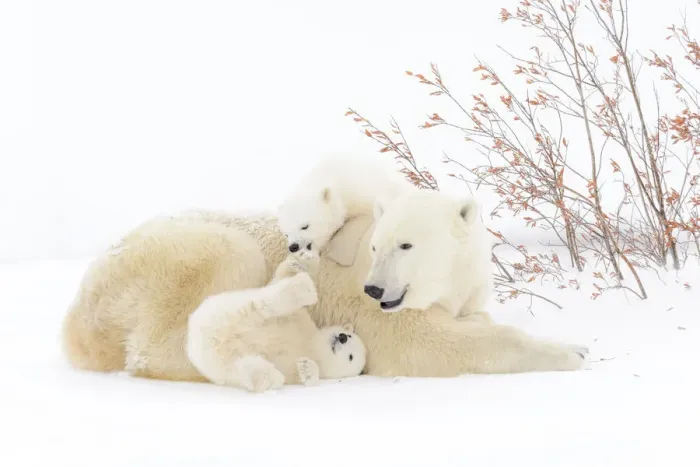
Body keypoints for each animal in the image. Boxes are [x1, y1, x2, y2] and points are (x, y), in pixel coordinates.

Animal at [185, 252, 367, 392]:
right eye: (349, 335)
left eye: (350, 357)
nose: (342, 337)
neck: (313, 345)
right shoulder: (301, 321)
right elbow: (281, 280)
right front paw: (298, 262)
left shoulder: (294, 366)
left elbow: (304, 375)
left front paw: (306, 367)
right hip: (229, 309)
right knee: (267, 303)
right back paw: (304, 287)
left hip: (221, 363)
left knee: (242, 367)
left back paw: (267, 376)